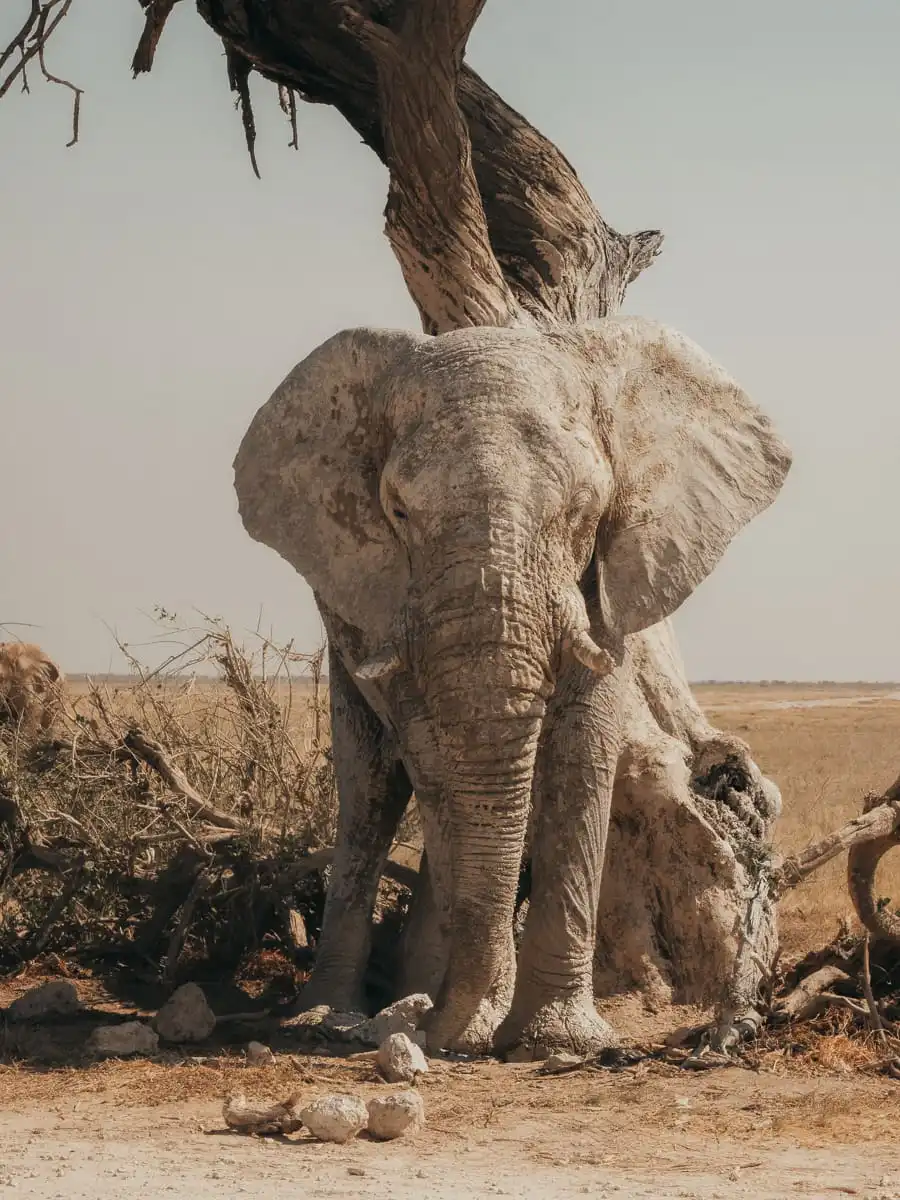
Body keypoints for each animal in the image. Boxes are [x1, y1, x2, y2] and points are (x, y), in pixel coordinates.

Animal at [233, 316, 791, 1056]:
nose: (454, 1031)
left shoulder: (609, 577)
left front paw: (559, 1040)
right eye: (397, 510)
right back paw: (341, 1016)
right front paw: (469, 1027)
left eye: (585, 509)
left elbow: (584, 745)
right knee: (372, 790)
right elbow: (435, 756)